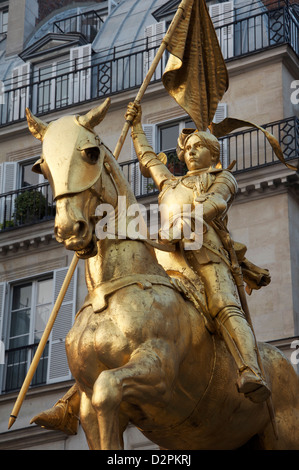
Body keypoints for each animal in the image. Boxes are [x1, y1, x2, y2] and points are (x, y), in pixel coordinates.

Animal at [26, 100, 299, 452]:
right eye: (43, 166)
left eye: (90, 153)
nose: (69, 229)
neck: (109, 292)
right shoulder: (86, 404)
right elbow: (151, 161)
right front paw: (134, 116)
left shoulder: (158, 371)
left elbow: (107, 388)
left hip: (283, 433)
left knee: (229, 311)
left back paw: (253, 378)